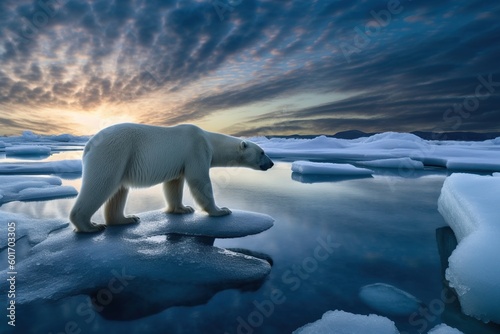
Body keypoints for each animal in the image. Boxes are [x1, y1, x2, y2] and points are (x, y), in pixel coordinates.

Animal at [69, 122, 274, 232]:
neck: (210, 140)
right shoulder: (196, 150)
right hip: (114, 152)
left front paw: (183, 209)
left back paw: (127, 219)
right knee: (100, 185)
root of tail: (88, 145)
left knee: (119, 190)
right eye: (262, 152)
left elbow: (174, 184)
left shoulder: (180, 161)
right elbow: (200, 180)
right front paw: (221, 210)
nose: (271, 163)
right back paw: (90, 226)